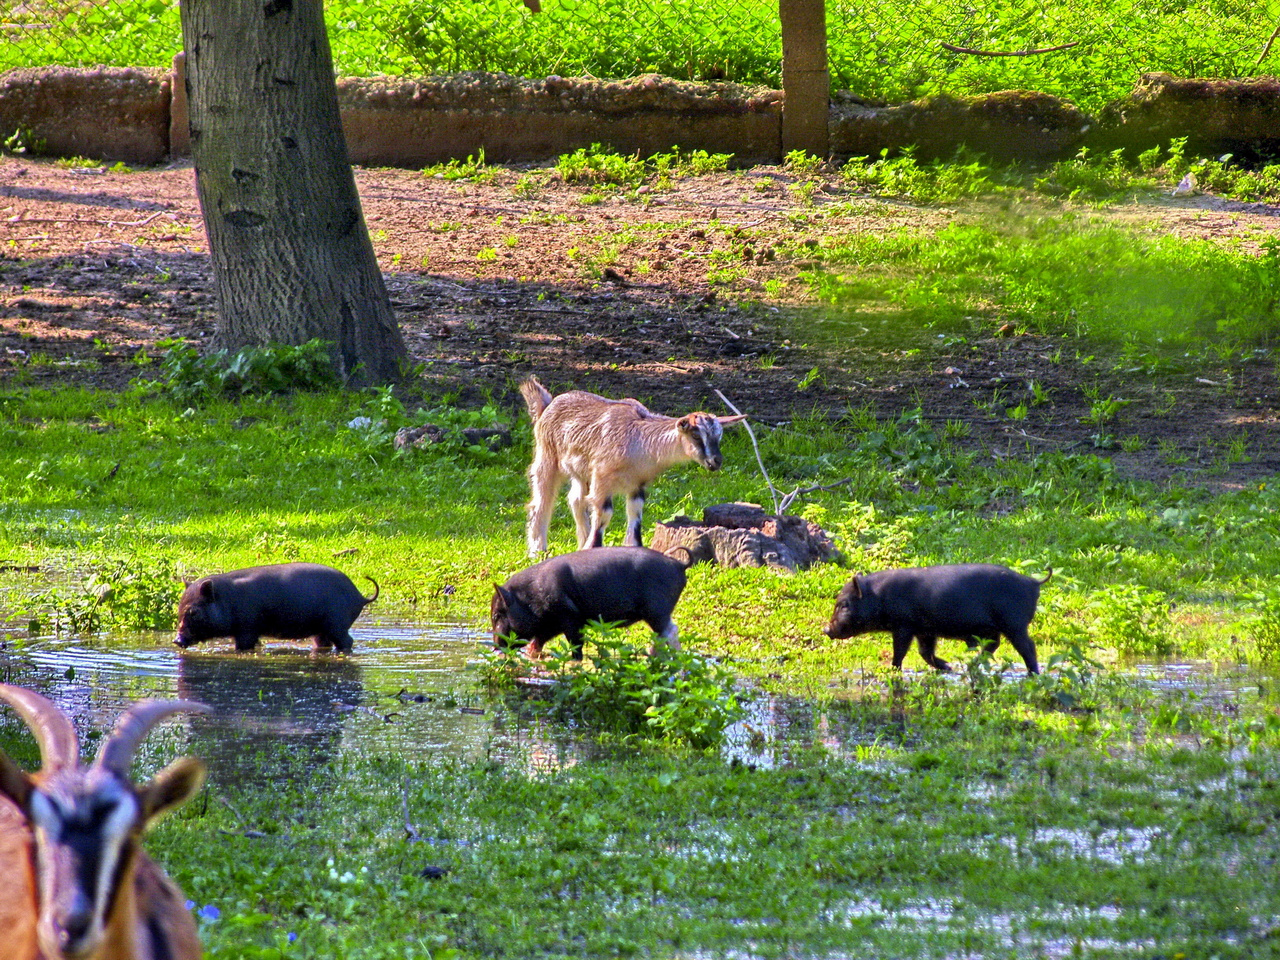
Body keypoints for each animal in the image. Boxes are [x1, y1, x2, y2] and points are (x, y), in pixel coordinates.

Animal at [175, 563, 376, 655]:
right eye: (179, 609)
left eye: (193, 612)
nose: (176, 640)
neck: (227, 600)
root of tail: (360, 597)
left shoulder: (247, 629)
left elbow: (244, 646)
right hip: (322, 630)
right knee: (322, 642)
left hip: (337, 624)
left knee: (347, 641)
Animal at [491, 547, 691, 660]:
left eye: (496, 615)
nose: (496, 647)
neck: (531, 596)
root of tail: (679, 564)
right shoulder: (552, 623)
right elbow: (538, 640)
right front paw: (533, 655)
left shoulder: (569, 616)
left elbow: (575, 643)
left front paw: (575, 661)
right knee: (661, 636)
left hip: (657, 609)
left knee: (671, 631)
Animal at [517, 378, 747, 555]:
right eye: (696, 435)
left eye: (719, 436)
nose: (716, 461)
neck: (639, 442)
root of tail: (547, 405)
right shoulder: (602, 477)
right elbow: (605, 512)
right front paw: (593, 548)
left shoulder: (638, 483)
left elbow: (635, 513)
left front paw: (633, 547)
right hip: (547, 457)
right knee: (541, 502)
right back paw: (538, 550)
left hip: (581, 472)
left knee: (575, 499)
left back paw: (580, 542)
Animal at [824, 568, 1044, 670]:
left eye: (844, 605)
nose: (825, 629)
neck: (880, 597)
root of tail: (1033, 582)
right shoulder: (924, 630)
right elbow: (925, 652)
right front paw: (947, 667)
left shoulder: (904, 625)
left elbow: (901, 650)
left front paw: (893, 669)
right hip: (995, 628)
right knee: (993, 645)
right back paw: (970, 665)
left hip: (1015, 624)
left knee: (1028, 647)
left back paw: (1033, 673)